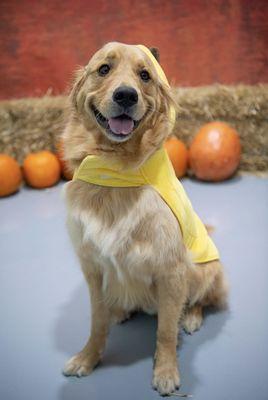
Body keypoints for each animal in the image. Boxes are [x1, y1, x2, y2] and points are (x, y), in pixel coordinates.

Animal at [61, 42, 227, 396]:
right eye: (104, 69)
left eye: (145, 75)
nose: (126, 95)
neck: (116, 173)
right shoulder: (93, 268)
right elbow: (97, 322)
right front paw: (87, 357)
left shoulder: (172, 271)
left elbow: (165, 331)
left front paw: (165, 372)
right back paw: (122, 309)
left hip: (205, 269)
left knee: (201, 299)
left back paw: (191, 317)